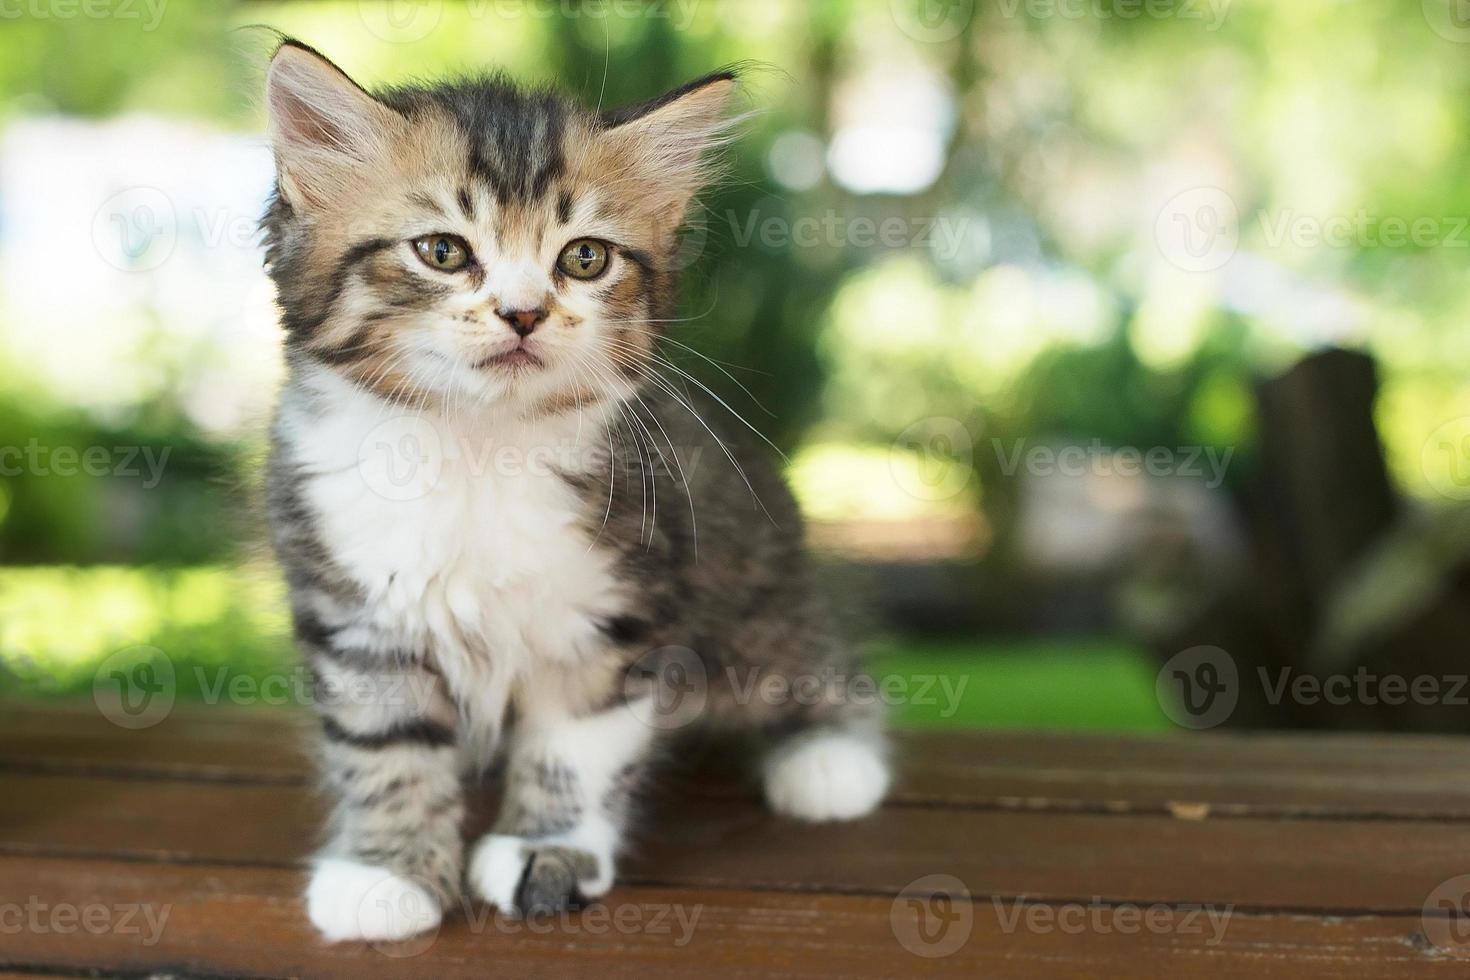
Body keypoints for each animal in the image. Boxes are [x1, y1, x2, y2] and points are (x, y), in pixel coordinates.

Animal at [258, 40, 887, 940]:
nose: (524, 313)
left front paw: (544, 849)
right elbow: (385, 748)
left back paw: (831, 755)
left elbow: (573, 750)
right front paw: (386, 873)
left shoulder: (615, 607)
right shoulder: (356, 613)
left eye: (583, 258)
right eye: (443, 251)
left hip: (754, 578)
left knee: (806, 643)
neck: (477, 448)